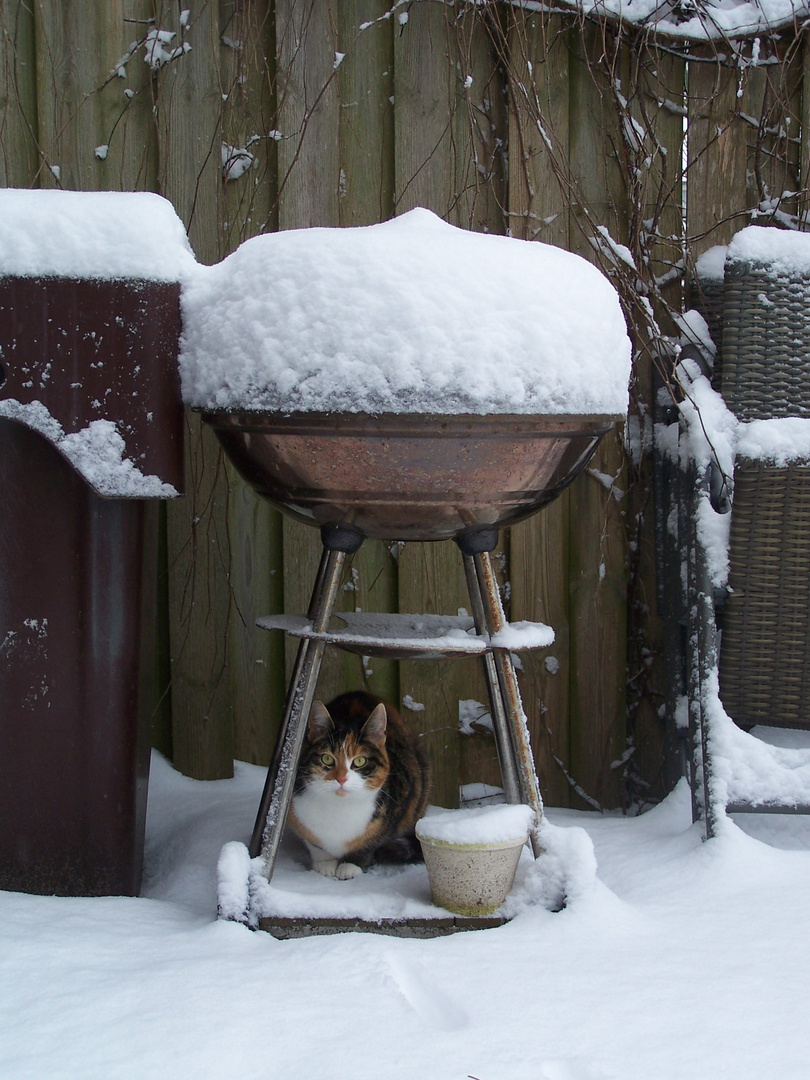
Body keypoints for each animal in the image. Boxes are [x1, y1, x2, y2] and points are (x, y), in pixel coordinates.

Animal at [289, 691, 432, 876]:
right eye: (327, 758)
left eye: (360, 761)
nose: (341, 778)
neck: (338, 808)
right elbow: (314, 844)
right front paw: (325, 864)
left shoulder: (400, 803)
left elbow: (369, 843)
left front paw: (350, 865)